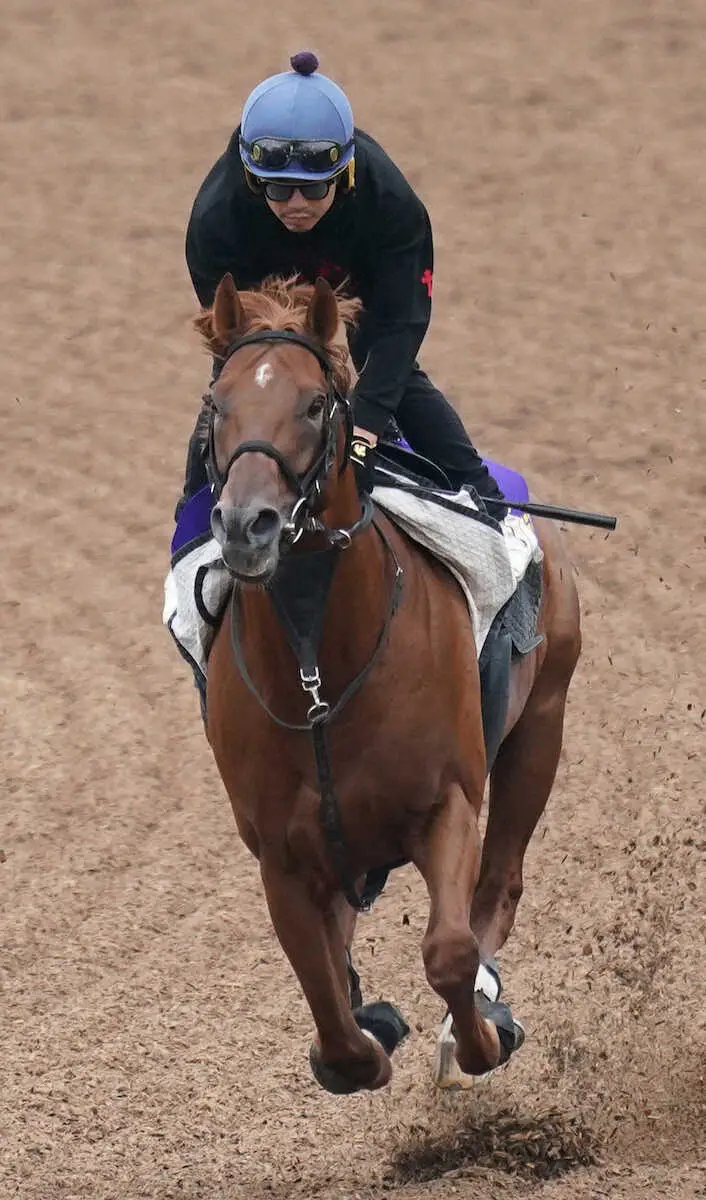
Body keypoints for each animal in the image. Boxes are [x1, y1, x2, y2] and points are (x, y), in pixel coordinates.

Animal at [195, 272, 581, 1099]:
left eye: (315, 404)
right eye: (217, 403)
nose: (247, 525)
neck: (319, 671)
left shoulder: (446, 803)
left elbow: (450, 949)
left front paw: (476, 1040)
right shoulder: (282, 855)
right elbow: (323, 995)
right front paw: (364, 1041)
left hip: (543, 723)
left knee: (500, 884)